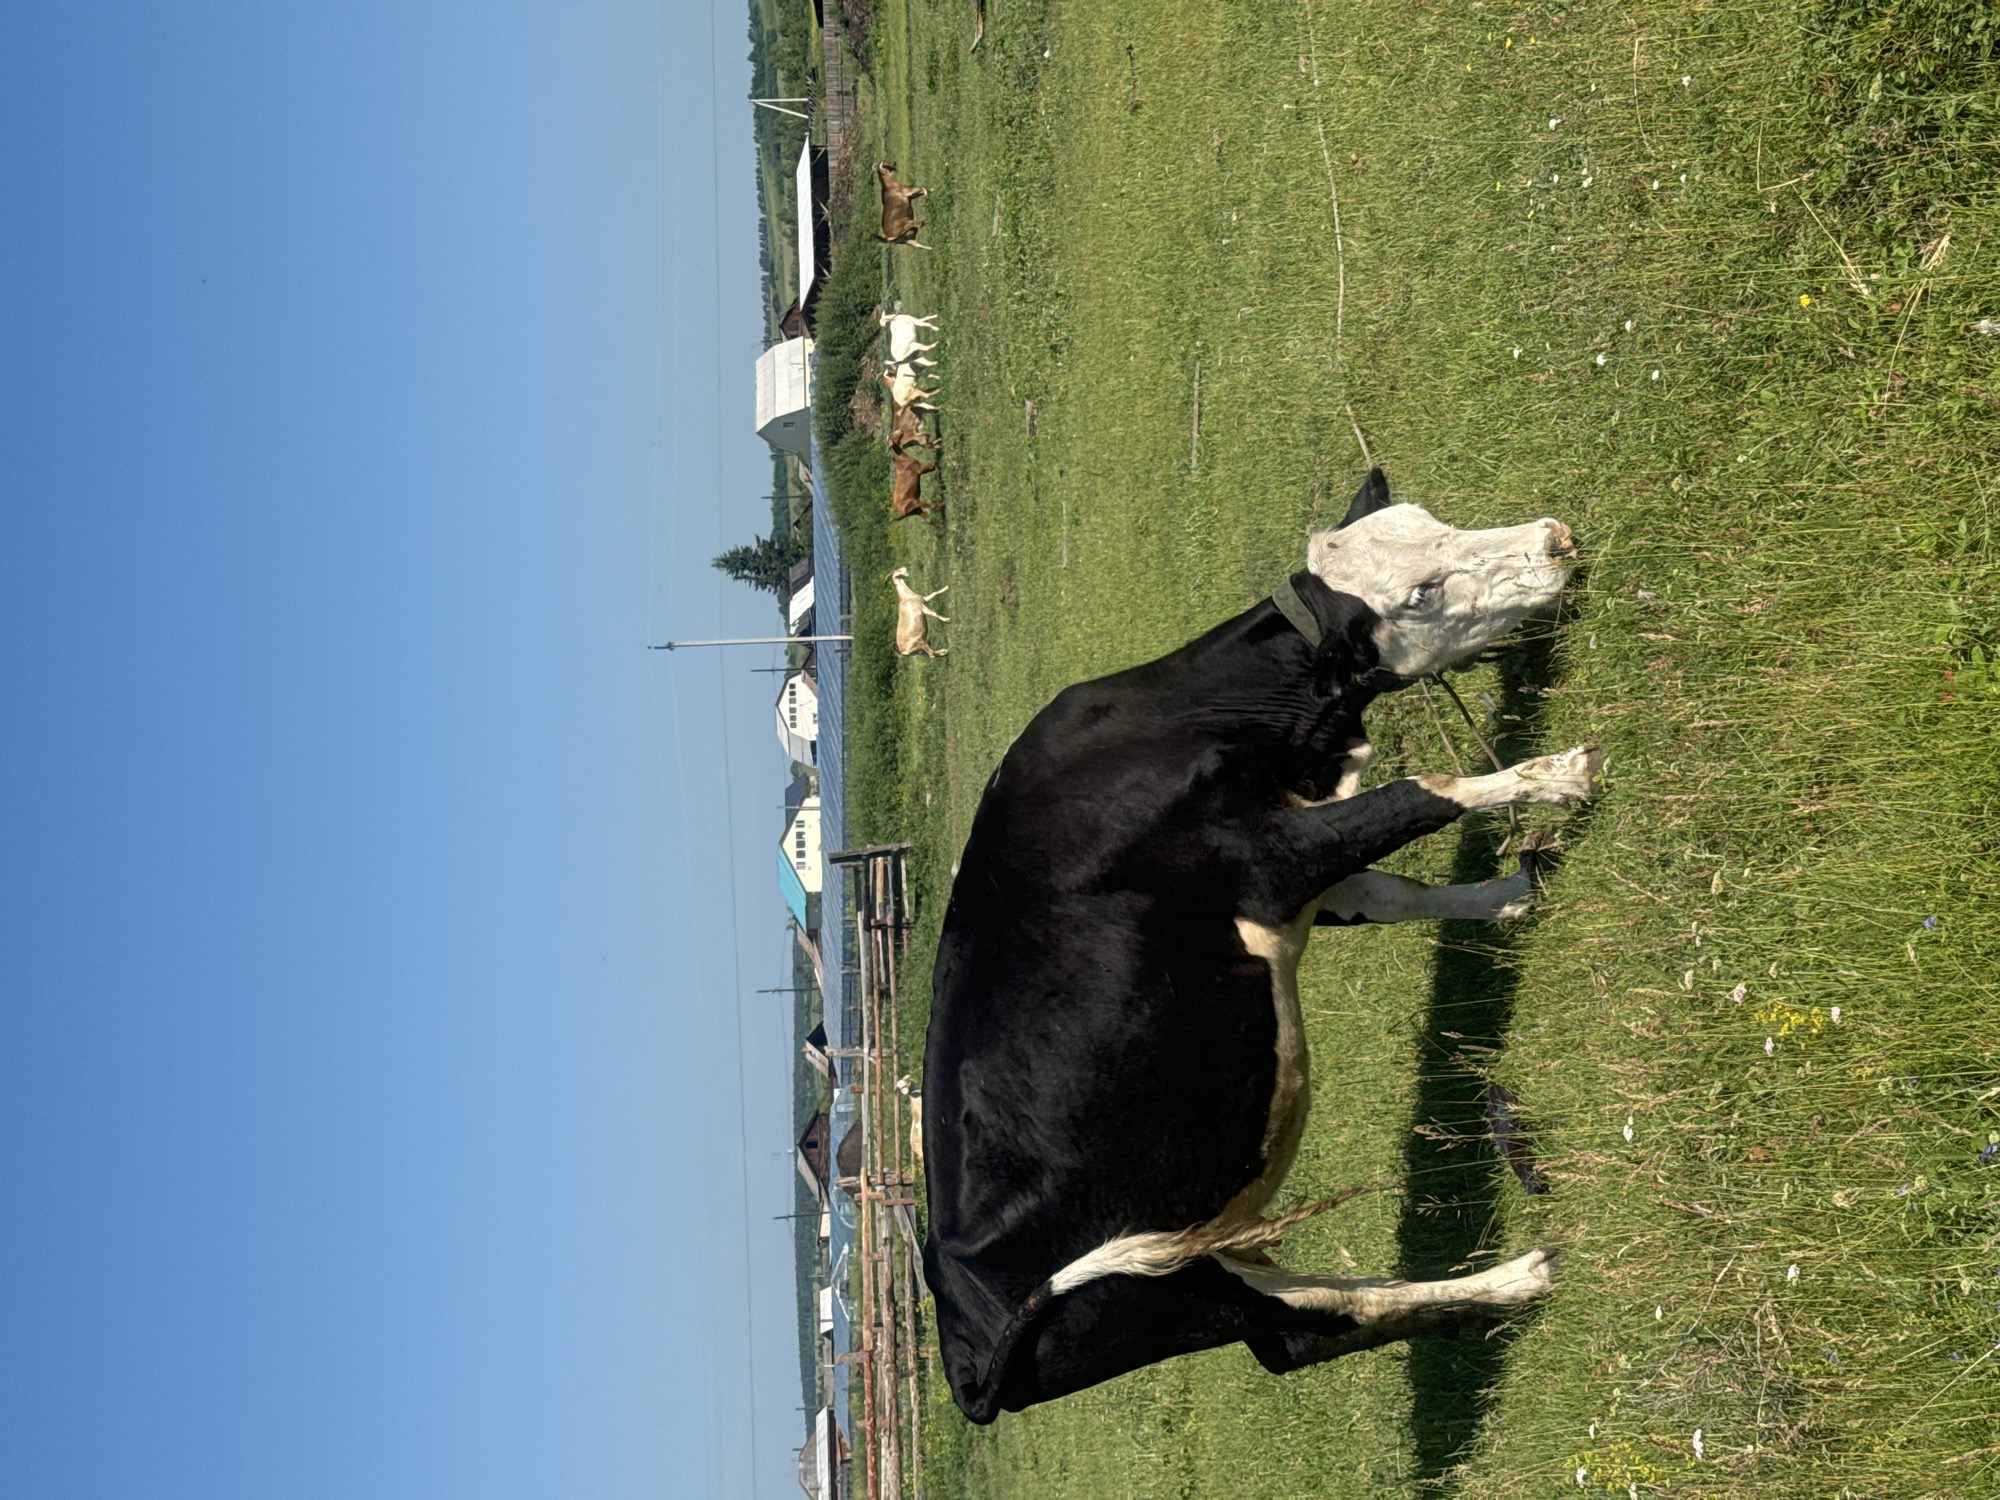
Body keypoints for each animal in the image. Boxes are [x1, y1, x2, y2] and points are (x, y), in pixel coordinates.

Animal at [922, 470, 1601, 1424]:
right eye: (1420, 594)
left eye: (1433, 522)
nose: (1556, 540)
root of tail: (963, 1350)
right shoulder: (1274, 857)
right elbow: (1426, 790)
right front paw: (1559, 777)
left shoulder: (1297, 861)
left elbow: (1394, 890)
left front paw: (1507, 897)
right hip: (1171, 1289)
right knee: (1333, 1312)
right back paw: (1515, 1281)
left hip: (1210, 1272)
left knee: (1305, 1335)